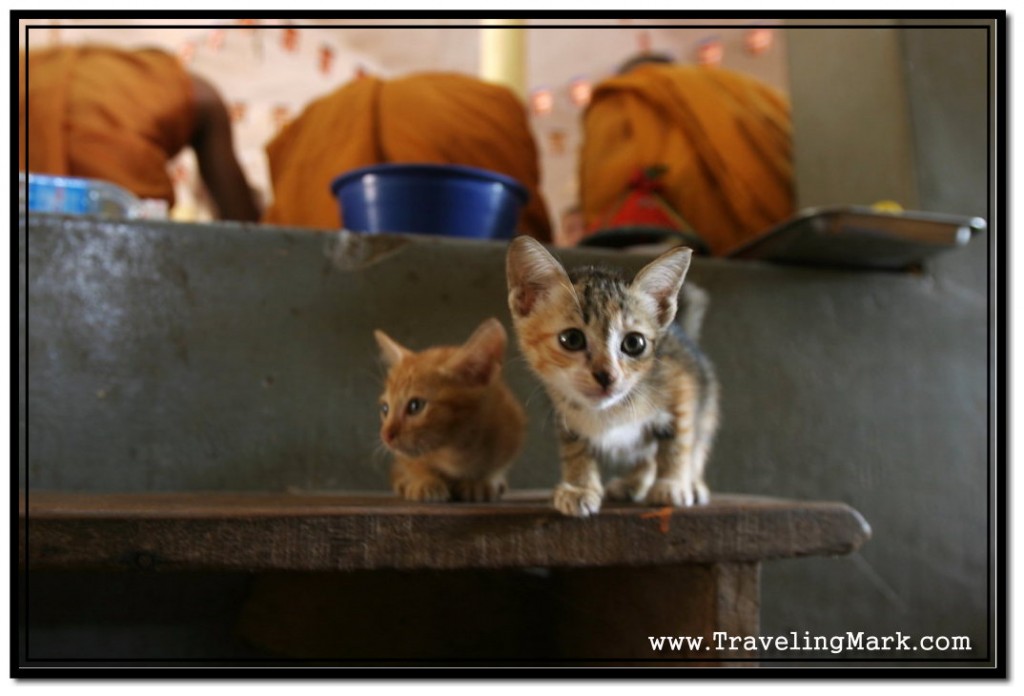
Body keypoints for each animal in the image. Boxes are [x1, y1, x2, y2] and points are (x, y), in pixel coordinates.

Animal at [372, 317, 524, 503]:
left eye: (415, 406)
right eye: (385, 408)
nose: (385, 436)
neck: (456, 447)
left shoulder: (511, 427)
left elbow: (496, 466)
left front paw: (480, 482)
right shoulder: (405, 455)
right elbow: (413, 464)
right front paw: (426, 481)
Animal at [505, 239, 720, 515]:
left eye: (634, 343)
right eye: (572, 339)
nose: (607, 375)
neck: (612, 411)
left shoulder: (681, 387)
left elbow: (677, 442)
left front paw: (670, 484)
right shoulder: (566, 414)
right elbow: (575, 450)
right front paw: (579, 488)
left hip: (706, 401)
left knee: (696, 442)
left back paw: (689, 484)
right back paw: (633, 484)